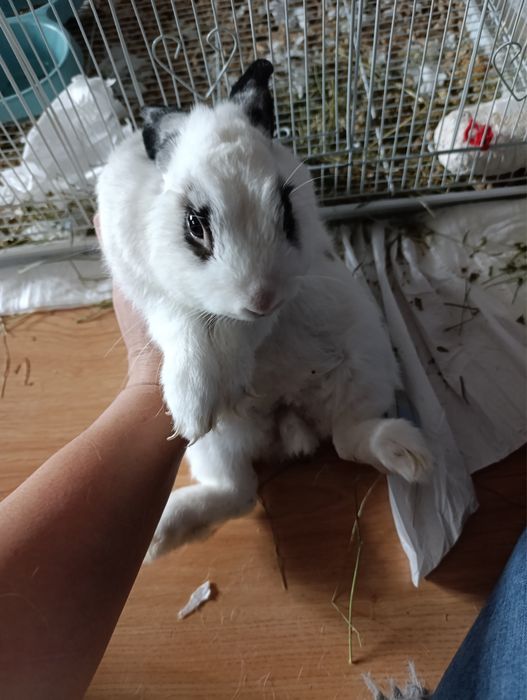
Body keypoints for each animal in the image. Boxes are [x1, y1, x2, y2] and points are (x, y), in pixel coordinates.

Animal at [96, 59, 433, 561]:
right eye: (194, 224)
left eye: (286, 209)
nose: (261, 297)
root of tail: (287, 418)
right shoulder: (146, 286)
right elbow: (181, 318)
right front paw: (194, 402)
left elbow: (239, 332)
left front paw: (227, 374)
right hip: (216, 444)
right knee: (238, 492)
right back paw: (163, 532)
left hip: (363, 364)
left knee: (349, 438)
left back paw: (410, 456)